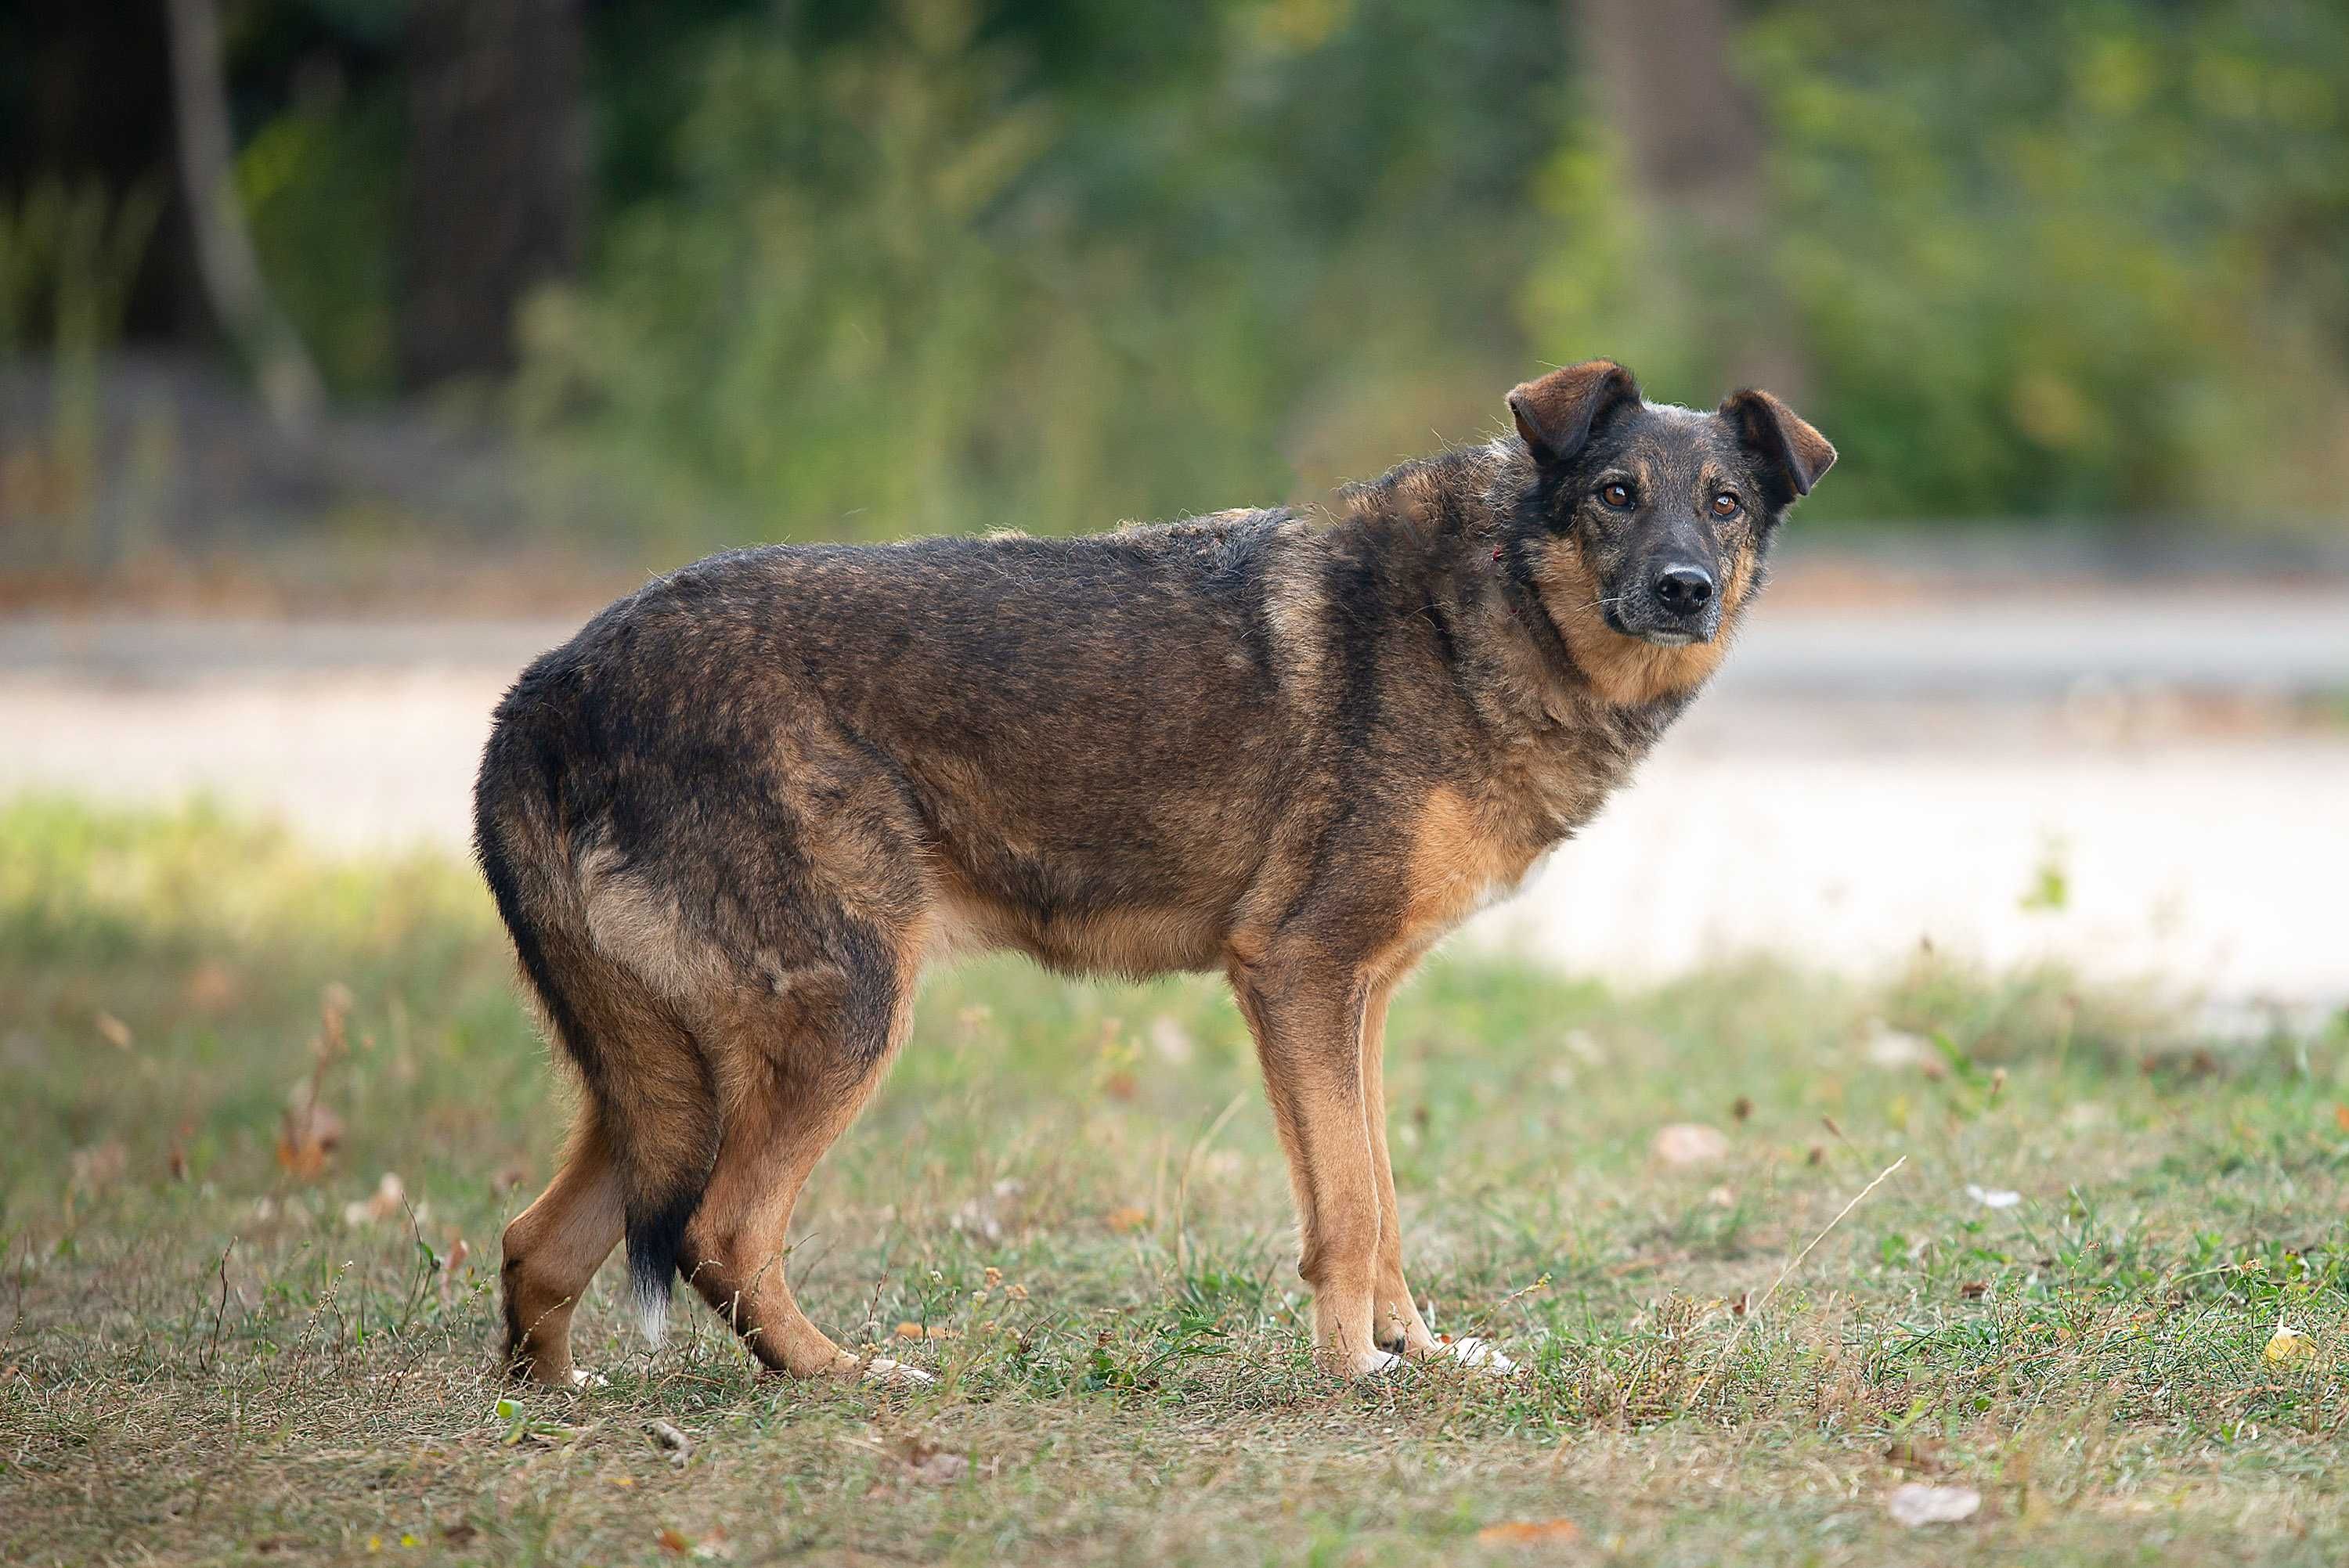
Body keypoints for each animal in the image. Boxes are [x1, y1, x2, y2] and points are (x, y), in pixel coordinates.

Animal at [482, 359, 1832, 1380]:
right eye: (1615, 491)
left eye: (1723, 502)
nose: (1685, 589)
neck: (1482, 610)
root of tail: (546, 687)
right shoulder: (1298, 972)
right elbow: (1352, 1207)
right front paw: (1356, 1369)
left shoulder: (1355, 1001)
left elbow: (1380, 1197)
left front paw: (1416, 1349)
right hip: (845, 1020)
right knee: (722, 1230)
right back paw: (840, 1373)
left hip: (665, 1086)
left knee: (537, 1243)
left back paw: (551, 1401)